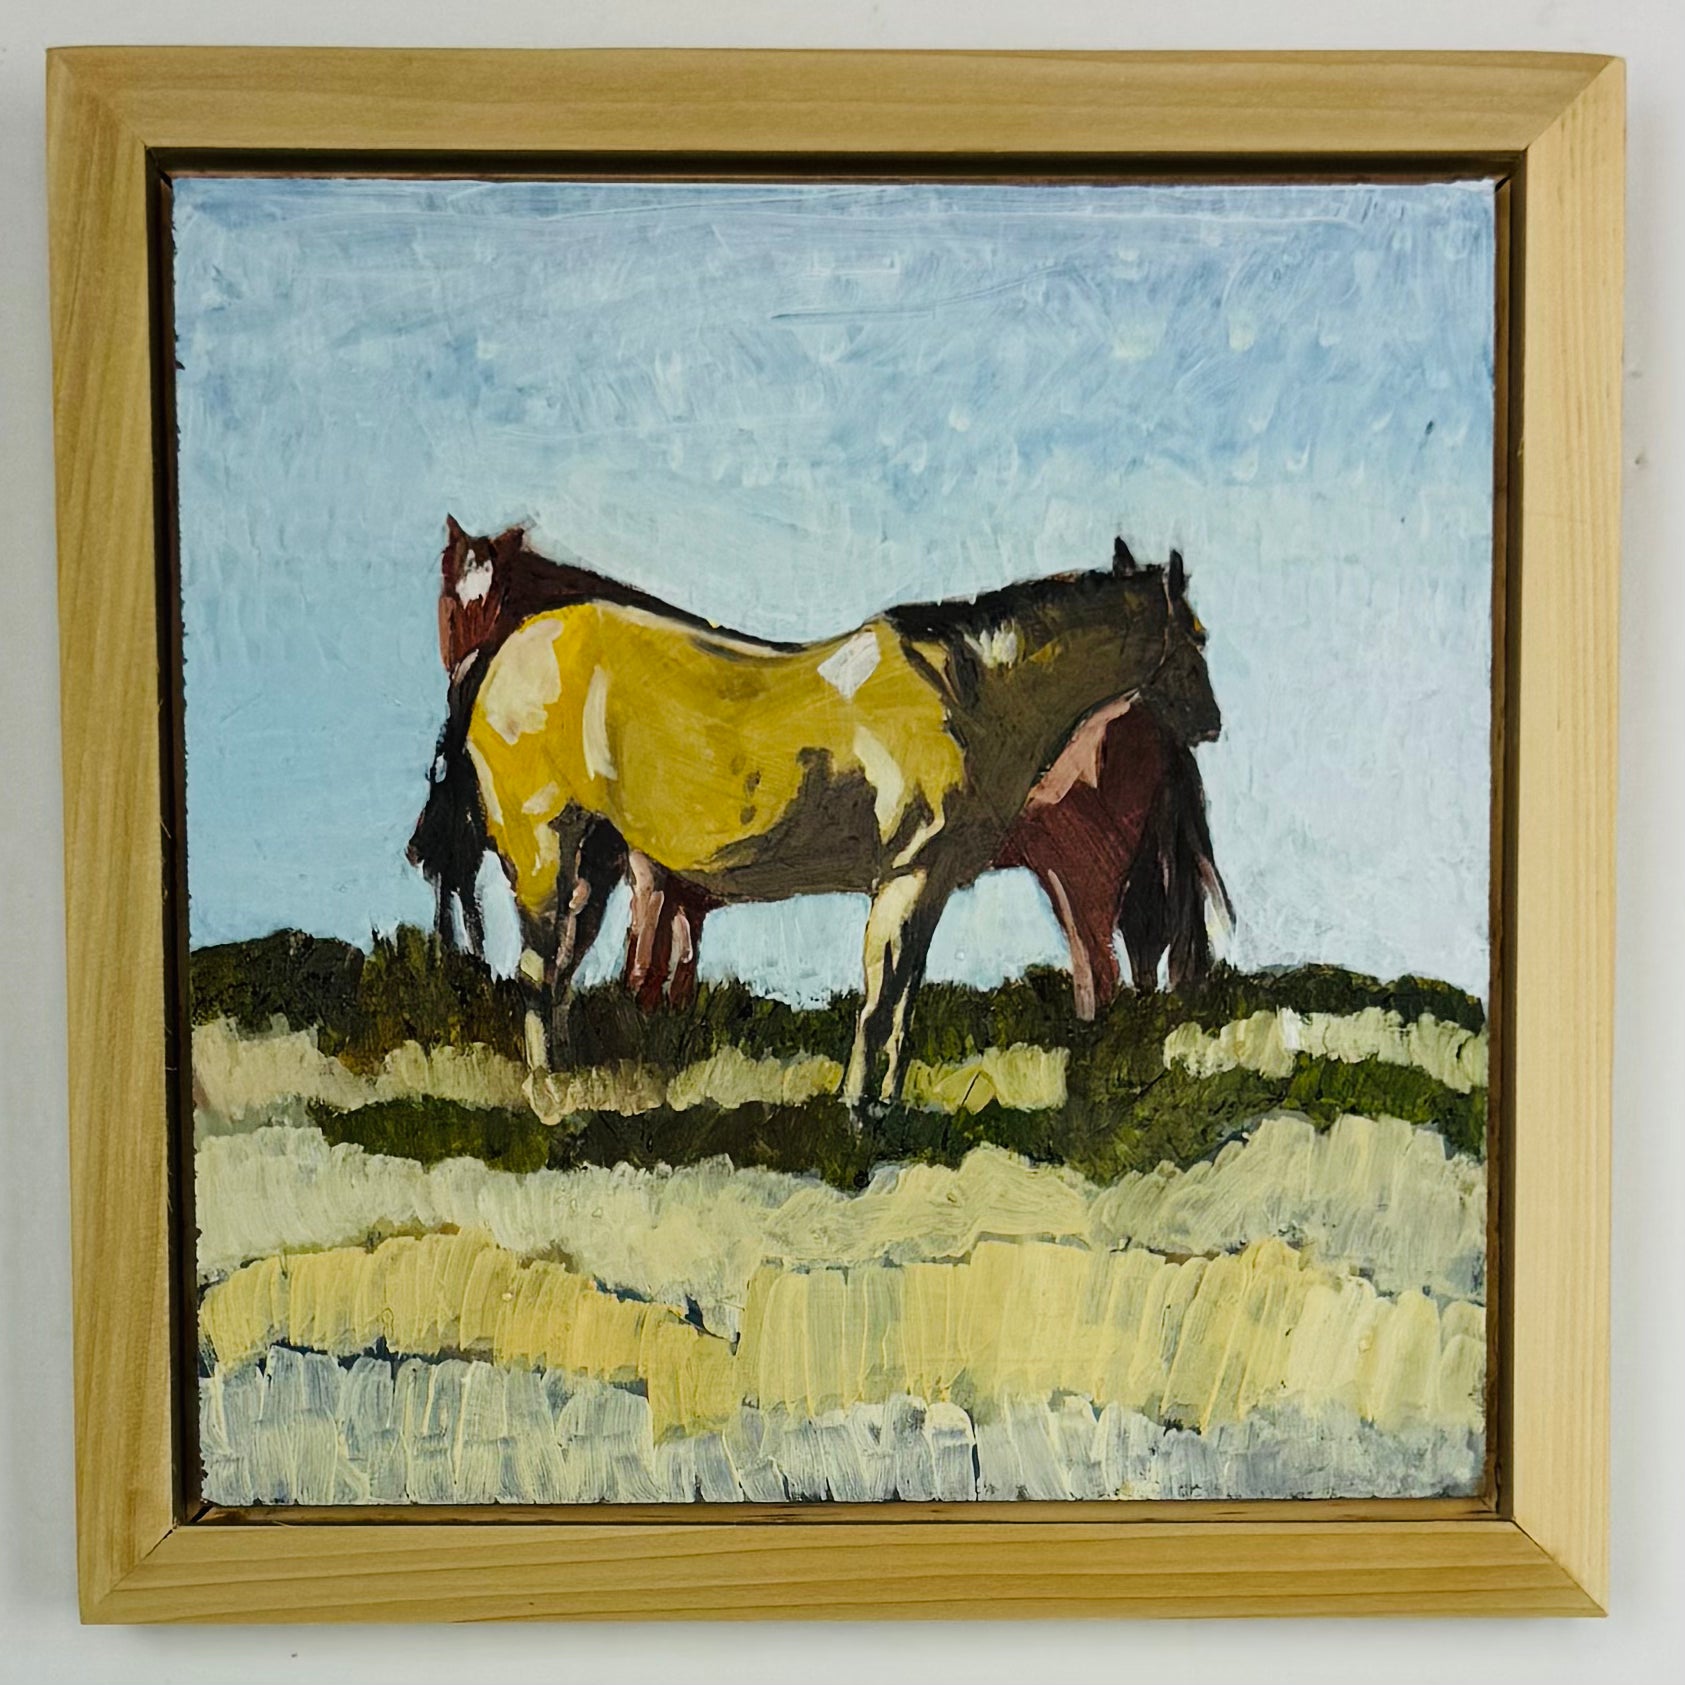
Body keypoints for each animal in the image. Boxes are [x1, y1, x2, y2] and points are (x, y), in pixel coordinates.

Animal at [457, 537, 1219, 1112]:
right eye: (1197, 637)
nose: (1211, 723)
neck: (962, 695)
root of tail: (510, 659)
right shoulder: (907, 875)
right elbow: (881, 996)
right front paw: (857, 1108)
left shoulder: (927, 884)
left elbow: (902, 995)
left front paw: (883, 1103)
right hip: (545, 849)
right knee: (538, 967)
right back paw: (549, 1093)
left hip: (594, 858)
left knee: (556, 967)